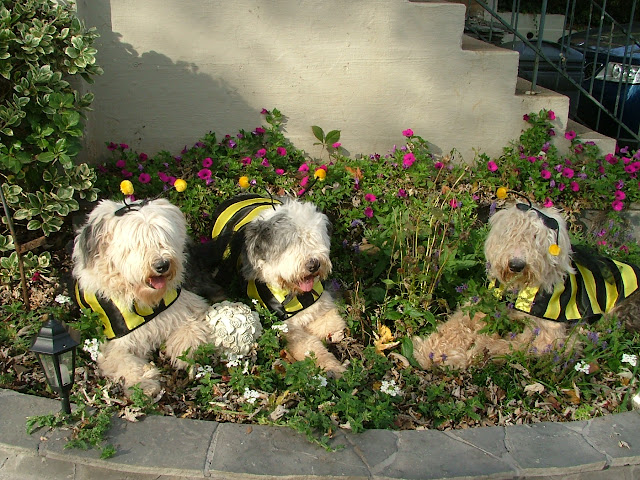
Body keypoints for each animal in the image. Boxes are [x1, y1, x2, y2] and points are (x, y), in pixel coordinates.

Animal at [72, 198, 213, 395]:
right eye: (137, 244)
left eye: (164, 238)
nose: (162, 265)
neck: (146, 301)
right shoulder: (115, 341)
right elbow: (123, 361)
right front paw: (144, 383)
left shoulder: (186, 307)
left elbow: (192, 331)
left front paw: (187, 356)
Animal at [201, 193, 347, 375]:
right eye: (290, 243)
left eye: (313, 238)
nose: (314, 265)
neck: (294, 294)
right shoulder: (287, 326)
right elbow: (310, 347)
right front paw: (333, 367)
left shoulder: (321, 306)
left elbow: (333, 324)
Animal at [413, 200, 640, 370]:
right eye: (510, 233)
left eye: (536, 238)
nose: (516, 265)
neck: (521, 289)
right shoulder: (488, 303)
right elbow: (457, 323)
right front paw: (430, 349)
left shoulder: (549, 336)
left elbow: (504, 346)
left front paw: (464, 354)